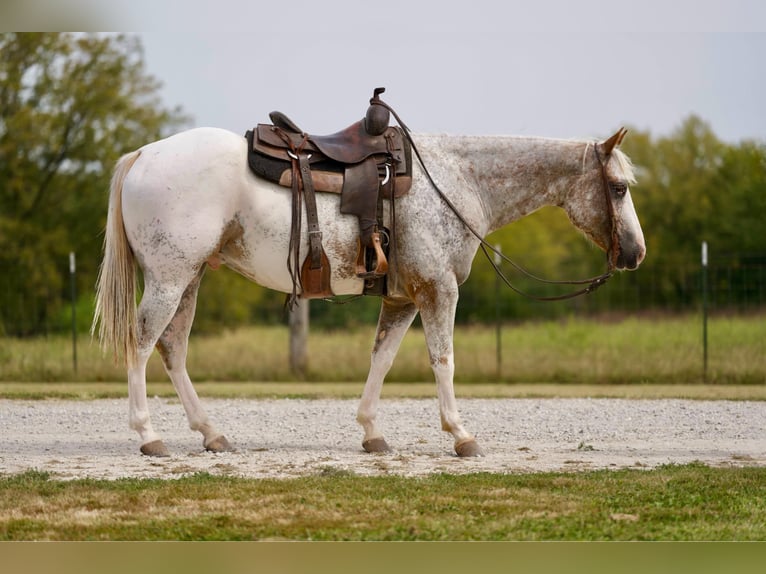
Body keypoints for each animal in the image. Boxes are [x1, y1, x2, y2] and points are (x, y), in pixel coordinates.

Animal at [94, 121, 648, 460]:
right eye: (618, 188)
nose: (635, 253)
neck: (457, 181)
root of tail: (144, 154)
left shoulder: (402, 299)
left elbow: (382, 359)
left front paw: (371, 432)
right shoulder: (438, 291)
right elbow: (443, 361)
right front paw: (461, 435)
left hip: (189, 279)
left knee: (172, 348)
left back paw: (212, 433)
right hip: (169, 279)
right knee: (142, 344)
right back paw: (149, 436)